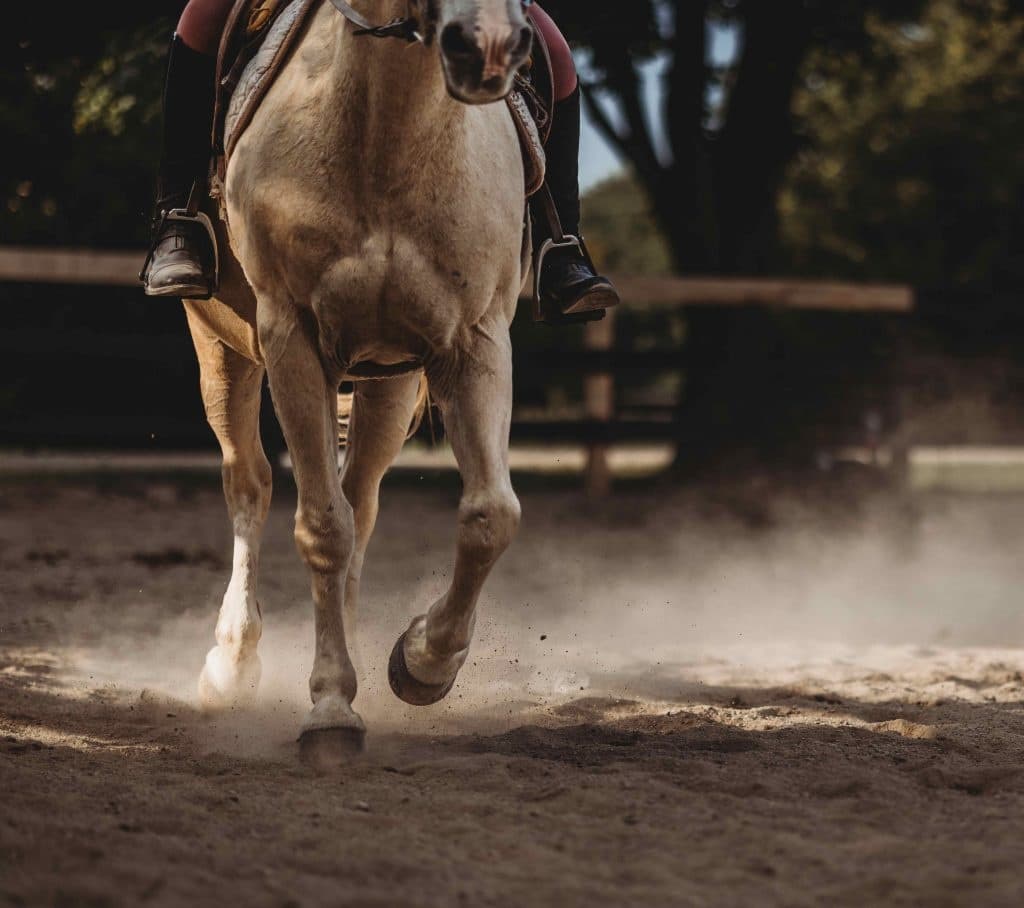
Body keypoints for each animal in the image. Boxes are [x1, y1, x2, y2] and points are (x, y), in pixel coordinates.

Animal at [181, 0, 533, 758]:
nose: (488, 46)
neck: (388, 129)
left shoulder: (475, 340)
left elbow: (490, 516)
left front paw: (422, 662)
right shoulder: (291, 340)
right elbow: (321, 527)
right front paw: (330, 709)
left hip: (388, 384)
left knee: (361, 501)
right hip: (220, 346)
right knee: (249, 484)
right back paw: (231, 664)